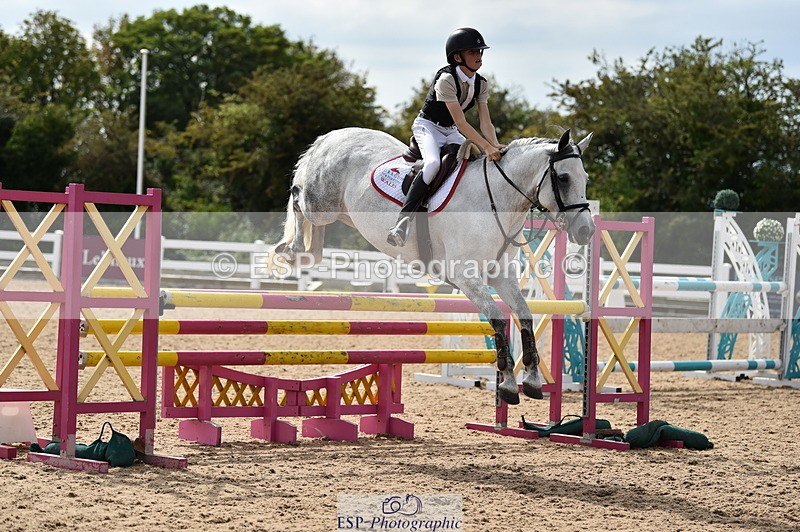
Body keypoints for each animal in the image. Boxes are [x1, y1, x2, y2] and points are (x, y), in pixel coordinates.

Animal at [271, 127, 594, 405]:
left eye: (585, 178)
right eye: (563, 178)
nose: (586, 232)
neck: (497, 202)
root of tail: (331, 136)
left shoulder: (501, 277)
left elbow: (525, 316)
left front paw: (532, 381)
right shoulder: (466, 277)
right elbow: (499, 320)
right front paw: (508, 384)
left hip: (340, 212)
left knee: (315, 235)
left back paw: (306, 252)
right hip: (321, 203)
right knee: (298, 197)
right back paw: (290, 249)